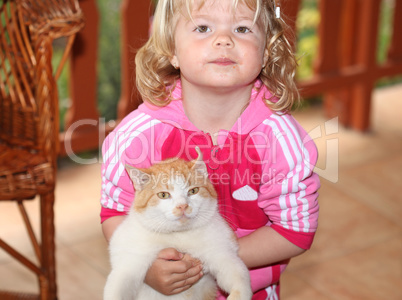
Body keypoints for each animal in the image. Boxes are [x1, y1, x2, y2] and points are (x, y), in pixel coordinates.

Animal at [103, 148, 251, 300]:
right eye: (163, 195)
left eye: (193, 191)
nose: (183, 206)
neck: (178, 236)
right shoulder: (129, 262)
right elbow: (118, 286)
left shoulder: (221, 252)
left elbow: (238, 276)